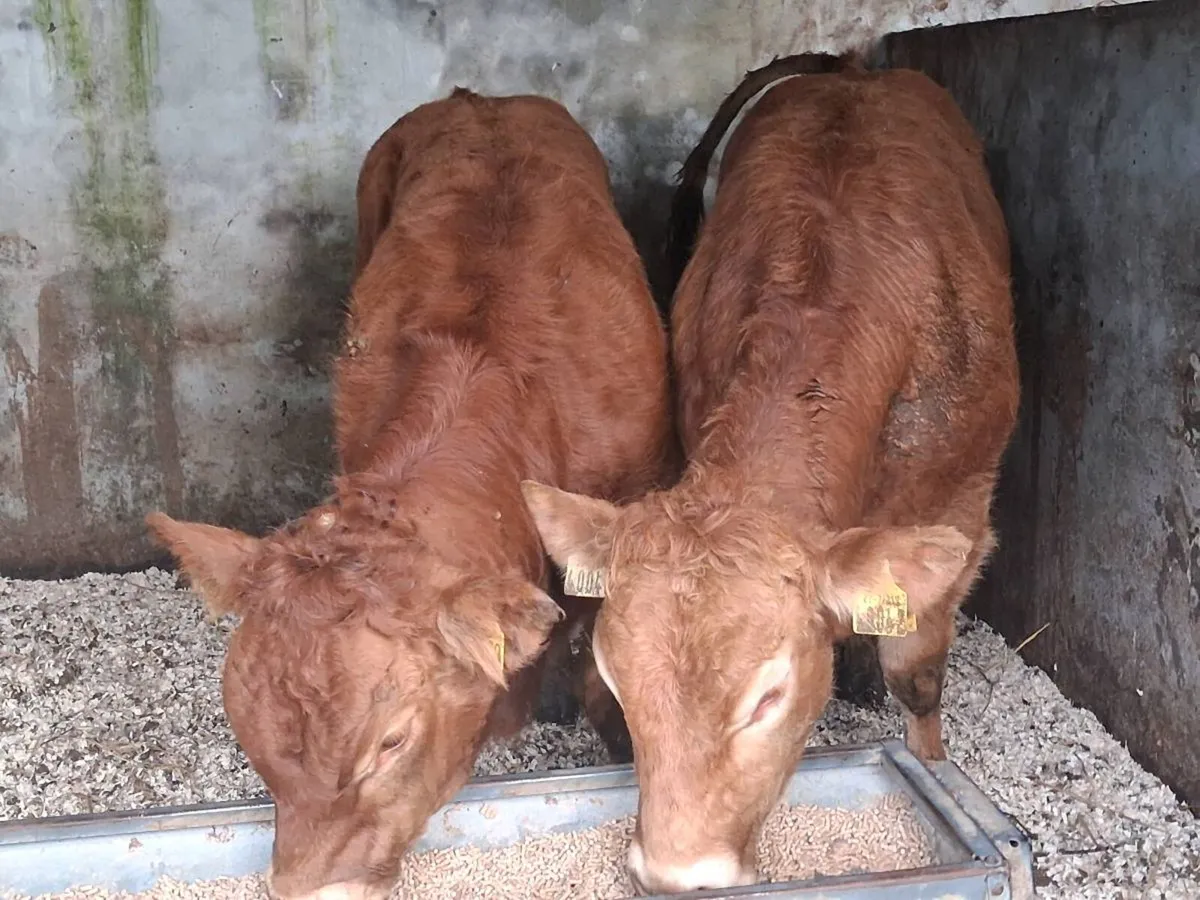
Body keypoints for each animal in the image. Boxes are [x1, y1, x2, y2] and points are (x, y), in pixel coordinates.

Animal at [522, 54, 1020, 895]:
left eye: (768, 699)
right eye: (619, 685)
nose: (675, 873)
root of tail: (855, 69)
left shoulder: (961, 506)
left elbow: (918, 675)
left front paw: (937, 770)